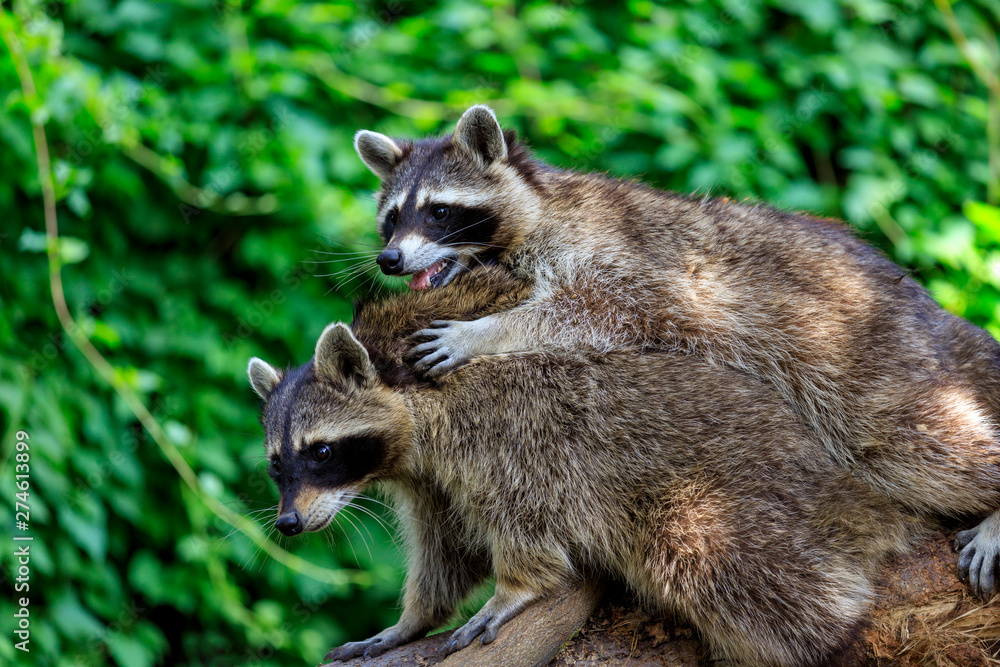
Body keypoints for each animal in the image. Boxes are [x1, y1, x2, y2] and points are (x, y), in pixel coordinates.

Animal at [248, 267, 921, 667]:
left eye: (322, 452)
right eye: (278, 465)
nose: (287, 525)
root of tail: (849, 492)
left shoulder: (504, 422)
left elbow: (527, 516)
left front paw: (515, 588)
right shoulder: (427, 477)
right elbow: (445, 550)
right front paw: (413, 620)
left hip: (743, 488)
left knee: (716, 557)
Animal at [354, 105, 1000, 598]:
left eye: (439, 211)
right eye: (390, 218)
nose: (389, 259)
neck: (536, 208)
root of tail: (936, 318)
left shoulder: (626, 260)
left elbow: (599, 308)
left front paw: (488, 330)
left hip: (865, 353)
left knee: (912, 436)